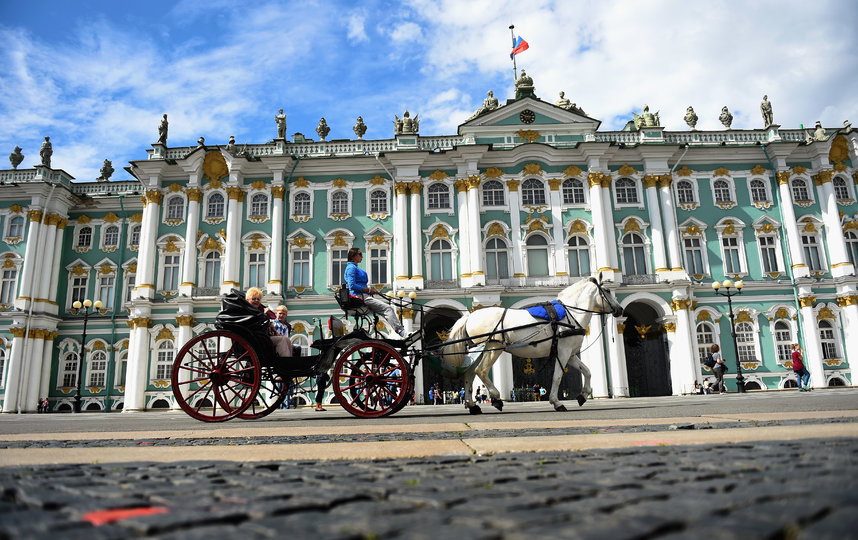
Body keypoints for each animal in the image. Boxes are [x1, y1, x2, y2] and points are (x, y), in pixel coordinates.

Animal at [442, 278, 620, 414]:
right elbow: (557, 377)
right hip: (492, 348)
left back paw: (472, 406)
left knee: (469, 374)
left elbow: (587, 371)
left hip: (478, 350)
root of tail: (470, 316)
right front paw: (557, 402)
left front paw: (582, 396)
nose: (619, 309)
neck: (570, 314)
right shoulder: (562, 352)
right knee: (481, 371)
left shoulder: (570, 354)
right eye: (607, 290)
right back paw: (497, 399)